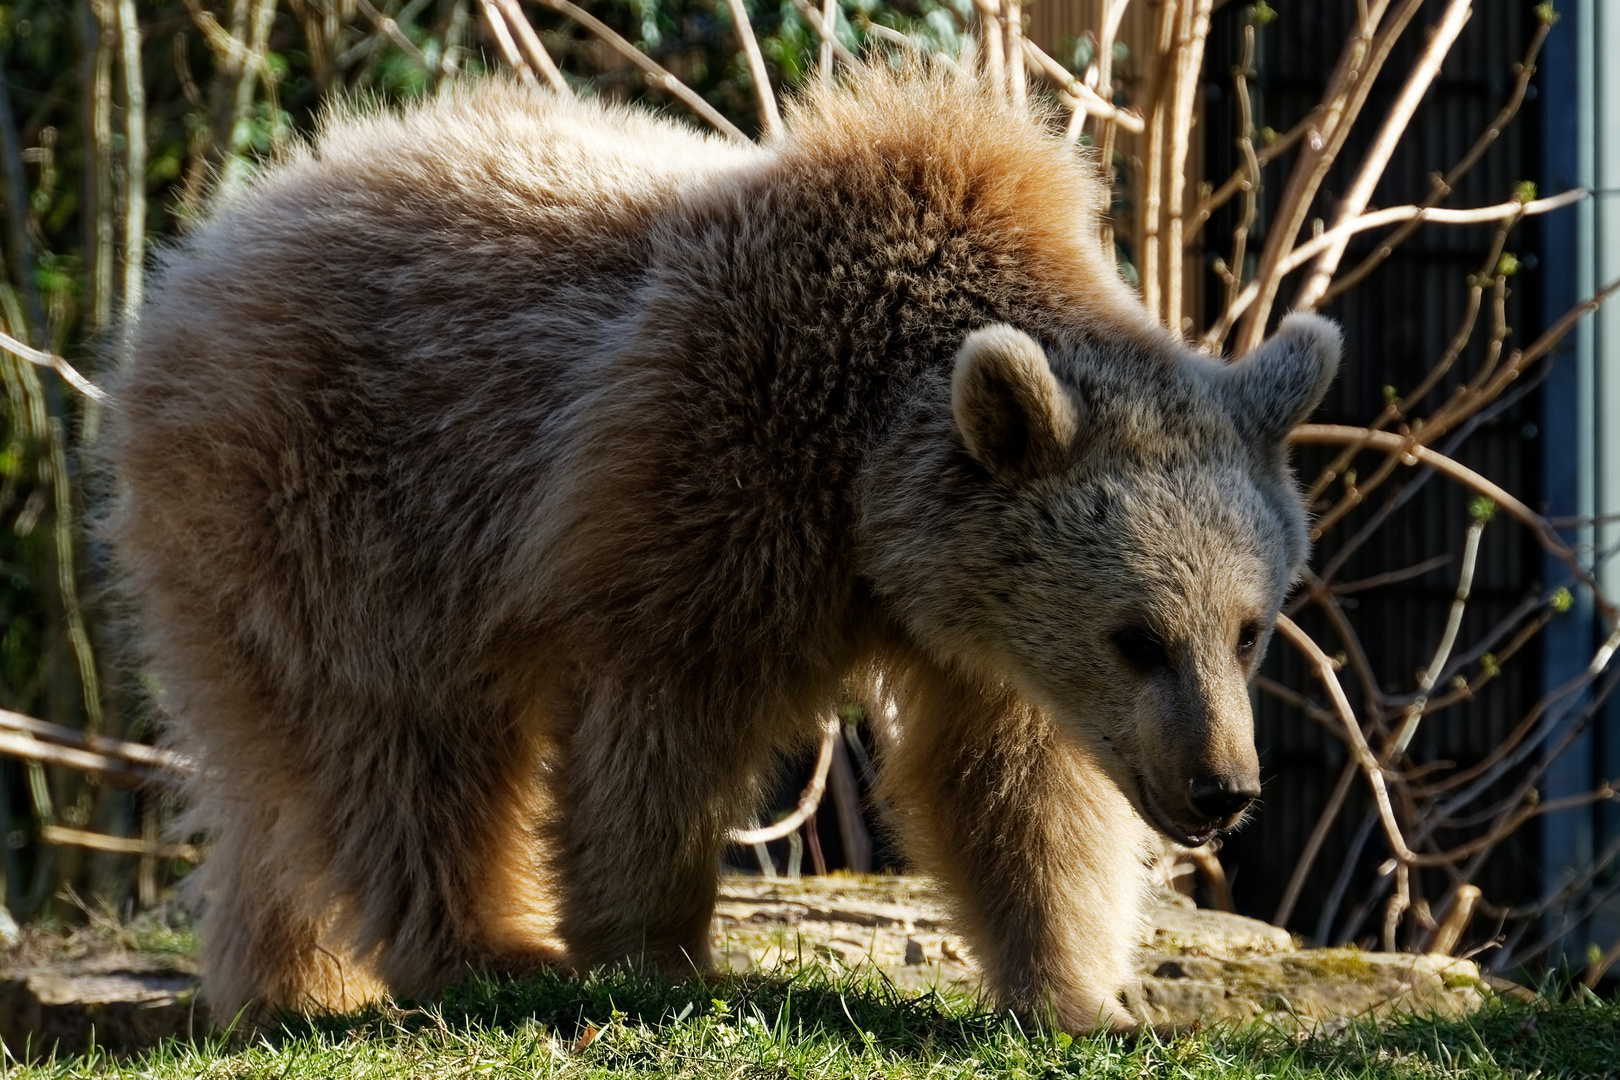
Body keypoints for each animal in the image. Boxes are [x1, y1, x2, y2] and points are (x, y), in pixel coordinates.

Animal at [104, 65, 1341, 1029]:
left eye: (1250, 629)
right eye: (1136, 636)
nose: (1222, 789)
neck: (860, 476)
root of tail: (198, 253)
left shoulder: (981, 630)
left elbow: (1015, 795)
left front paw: (1080, 994)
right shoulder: (701, 498)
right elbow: (657, 743)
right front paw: (654, 956)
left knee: (273, 790)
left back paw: (284, 980)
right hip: (350, 503)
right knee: (406, 741)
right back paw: (486, 951)